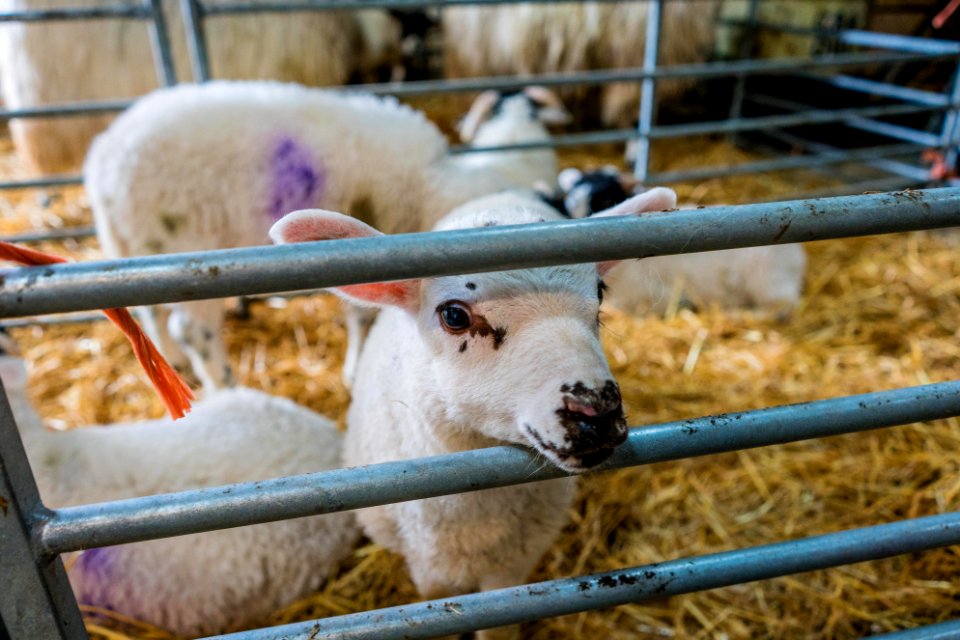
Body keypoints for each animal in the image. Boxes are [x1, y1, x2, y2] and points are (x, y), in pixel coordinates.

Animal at [86, 80, 568, 390]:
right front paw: (355, 369)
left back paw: (178, 367)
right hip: (189, 251)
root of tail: (103, 163)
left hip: (141, 252)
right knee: (193, 329)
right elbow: (361, 314)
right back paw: (228, 389)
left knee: (150, 316)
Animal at [552, 168, 808, 318]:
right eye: (568, 203)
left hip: (765, 277)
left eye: (605, 199)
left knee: (782, 304)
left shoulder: (655, 297)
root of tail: (798, 255)